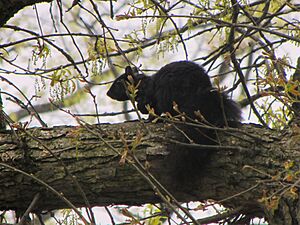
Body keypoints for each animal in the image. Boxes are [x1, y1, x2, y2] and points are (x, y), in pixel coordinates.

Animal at [106, 60, 240, 125]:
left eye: (118, 83)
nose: (108, 94)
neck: (141, 84)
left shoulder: (149, 95)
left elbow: (151, 109)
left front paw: (146, 118)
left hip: (167, 95)